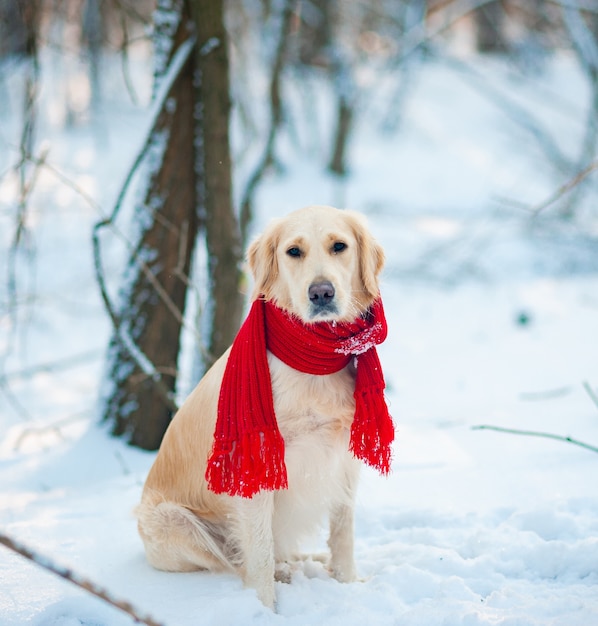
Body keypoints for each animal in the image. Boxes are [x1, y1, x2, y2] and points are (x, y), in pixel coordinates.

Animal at [138, 205, 396, 604]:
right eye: (294, 251)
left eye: (339, 246)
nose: (321, 292)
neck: (313, 363)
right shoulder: (256, 464)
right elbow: (258, 553)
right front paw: (263, 607)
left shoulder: (343, 457)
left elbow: (343, 533)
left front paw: (348, 583)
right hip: (173, 519)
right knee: (234, 561)